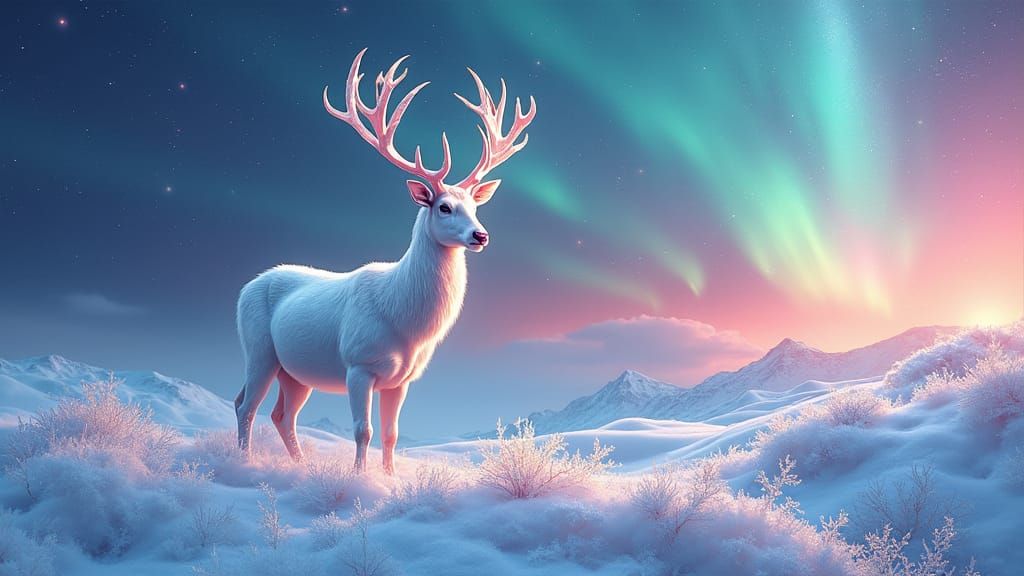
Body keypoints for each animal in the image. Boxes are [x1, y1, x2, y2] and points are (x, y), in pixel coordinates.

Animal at [233, 49, 535, 474]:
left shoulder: (401, 380)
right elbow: (364, 431)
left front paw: (389, 479)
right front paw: (359, 478)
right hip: (258, 348)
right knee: (247, 405)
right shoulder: (358, 364)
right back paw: (244, 462)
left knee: (279, 414)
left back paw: (300, 467)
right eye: (443, 207)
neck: (404, 320)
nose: (481, 236)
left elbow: (391, 435)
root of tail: (246, 285)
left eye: (476, 206)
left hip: (295, 372)